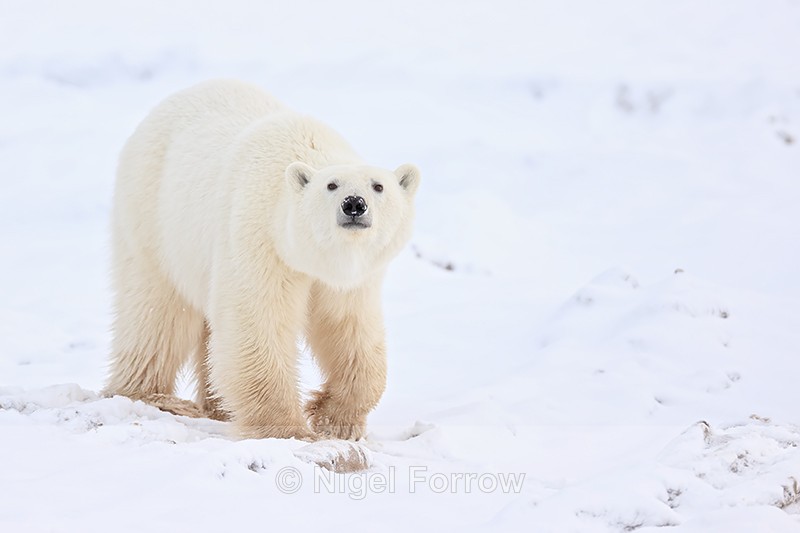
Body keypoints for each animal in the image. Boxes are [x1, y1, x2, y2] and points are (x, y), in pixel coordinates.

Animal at [104, 79, 420, 441]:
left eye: (378, 186)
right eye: (331, 185)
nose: (354, 204)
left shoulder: (353, 279)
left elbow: (350, 328)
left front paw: (337, 419)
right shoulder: (260, 239)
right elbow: (257, 324)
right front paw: (286, 429)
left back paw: (217, 407)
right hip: (153, 215)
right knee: (156, 312)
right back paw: (152, 396)